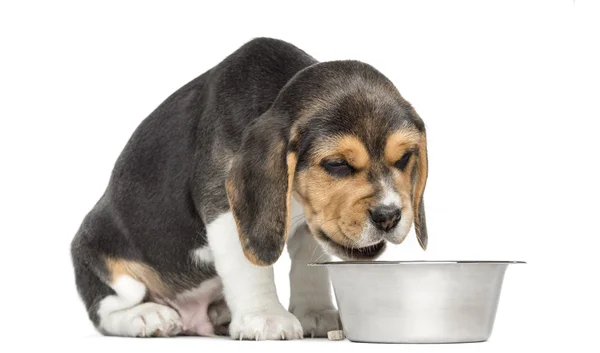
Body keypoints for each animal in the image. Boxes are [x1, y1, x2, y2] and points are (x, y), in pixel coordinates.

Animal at [69, 37, 426, 340]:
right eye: (337, 164)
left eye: (405, 157)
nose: (389, 216)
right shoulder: (225, 207)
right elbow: (250, 268)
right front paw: (266, 318)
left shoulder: (311, 219)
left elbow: (307, 267)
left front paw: (314, 312)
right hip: (104, 258)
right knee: (107, 309)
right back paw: (147, 316)